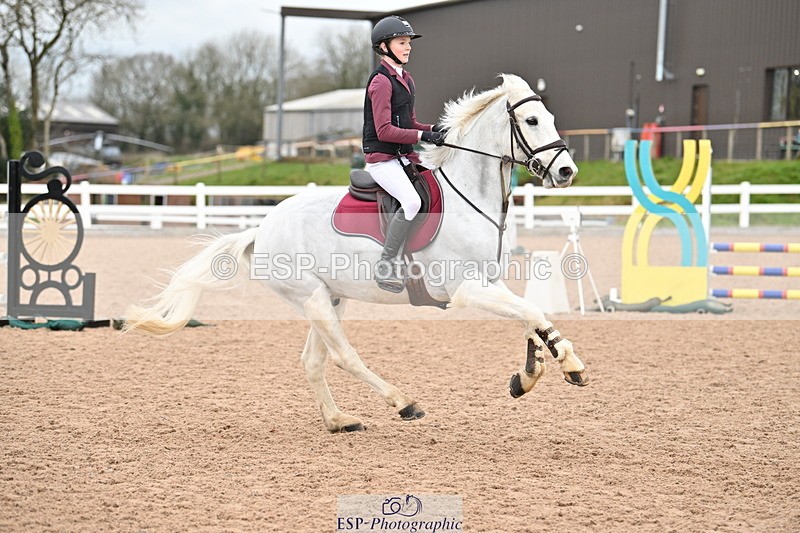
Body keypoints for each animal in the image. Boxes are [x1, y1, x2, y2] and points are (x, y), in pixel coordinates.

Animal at [124, 74, 590, 433]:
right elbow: (532, 312)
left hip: (329, 298)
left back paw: (338, 420)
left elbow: (529, 315)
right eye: (531, 120)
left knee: (313, 361)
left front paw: (528, 375)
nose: (567, 171)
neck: (470, 198)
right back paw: (402, 402)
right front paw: (568, 365)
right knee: (343, 356)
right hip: (313, 297)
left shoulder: (490, 282)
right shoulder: (465, 288)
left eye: (549, 118)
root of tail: (263, 226)